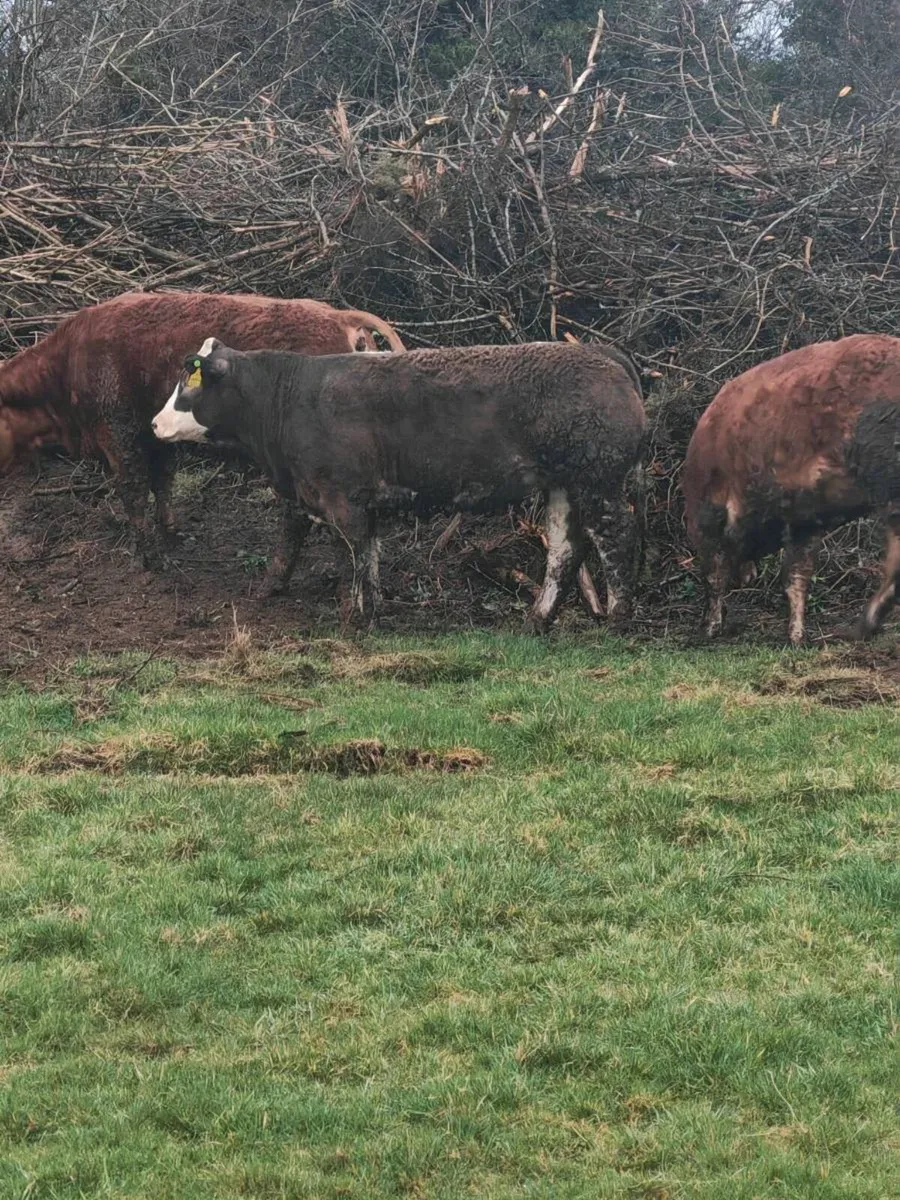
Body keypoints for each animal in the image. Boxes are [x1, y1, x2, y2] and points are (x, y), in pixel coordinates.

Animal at [0, 291, 405, 589]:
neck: (65, 364)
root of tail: (340, 317)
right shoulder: (153, 432)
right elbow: (162, 481)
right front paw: (170, 534)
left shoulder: (117, 432)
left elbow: (133, 490)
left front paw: (149, 557)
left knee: (296, 517)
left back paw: (274, 581)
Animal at [152, 338, 647, 631]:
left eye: (187, 383)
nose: (155, 423)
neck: (288, 399)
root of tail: (603, 353)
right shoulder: (360, 503)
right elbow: (369, 558)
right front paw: (374, 610)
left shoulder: (342, 500)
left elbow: (350, 558)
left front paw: (352, 618)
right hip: (565, 484)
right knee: (564, 550)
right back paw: (537, 619)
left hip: (598, 479)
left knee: (617, 537)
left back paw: (619, 617)